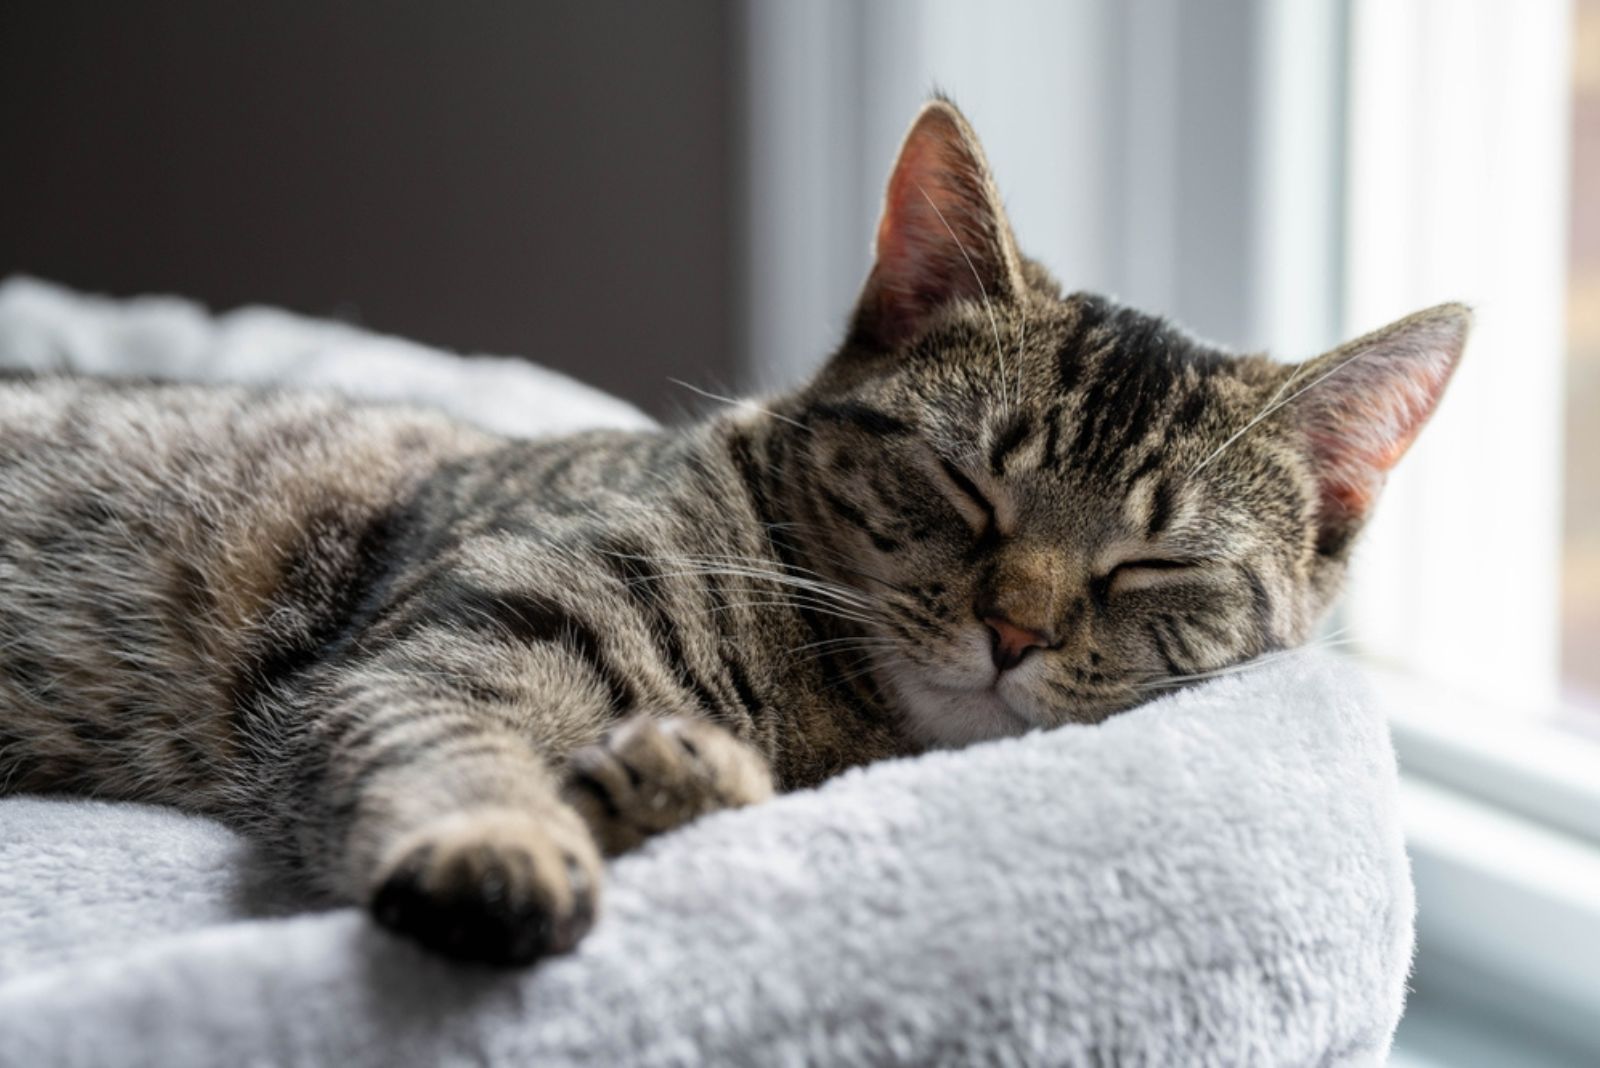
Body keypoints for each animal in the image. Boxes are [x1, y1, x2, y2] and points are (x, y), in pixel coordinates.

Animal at [0, 102, 1465, 965]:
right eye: (963, 485)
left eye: (1153, 565)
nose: (1015, 630)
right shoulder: (447, 640)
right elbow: (445, 743)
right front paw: (504, 843)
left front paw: (667, 785)